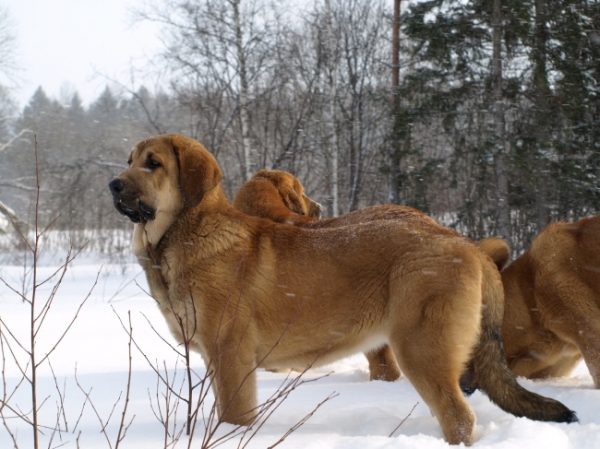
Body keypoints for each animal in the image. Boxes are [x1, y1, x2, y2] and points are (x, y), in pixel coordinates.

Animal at [108, 134, 576, 444]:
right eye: (129, 160)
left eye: (153, 163)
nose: (113, 185)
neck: (184, 234)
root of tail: (466, 245)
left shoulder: (231, 356)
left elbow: (234, 418)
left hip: (422, 350)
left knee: (459, 417)